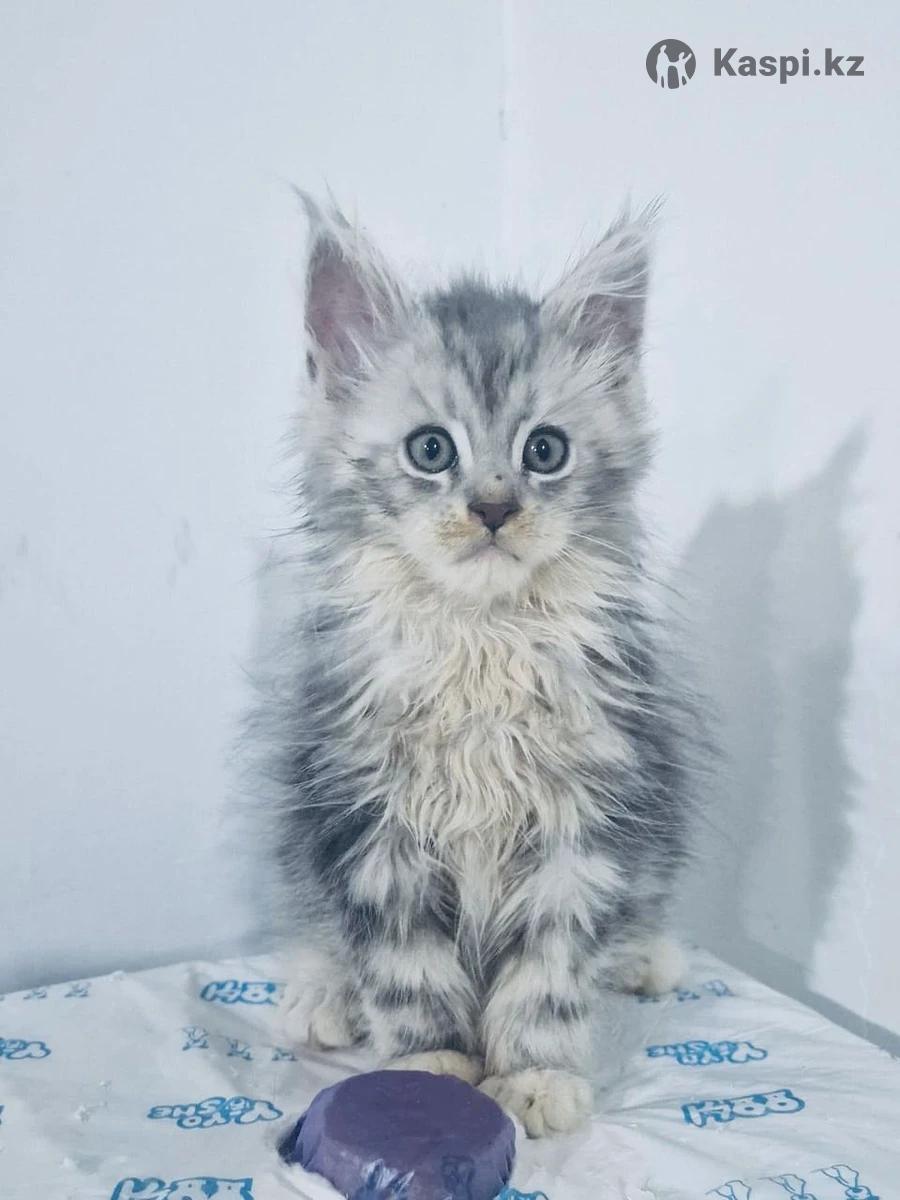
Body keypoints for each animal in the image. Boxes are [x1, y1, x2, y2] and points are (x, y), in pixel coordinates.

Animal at [258, 195, 698, 1137]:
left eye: (545, 451)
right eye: (431, 450)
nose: (494, 508)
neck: (481, 645)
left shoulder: (587, 823)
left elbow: (550, 974)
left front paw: (535, 1075)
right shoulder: (368, 823)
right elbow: (406, 972)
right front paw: (427, 1070)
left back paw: (645, 955)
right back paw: (320, 992)